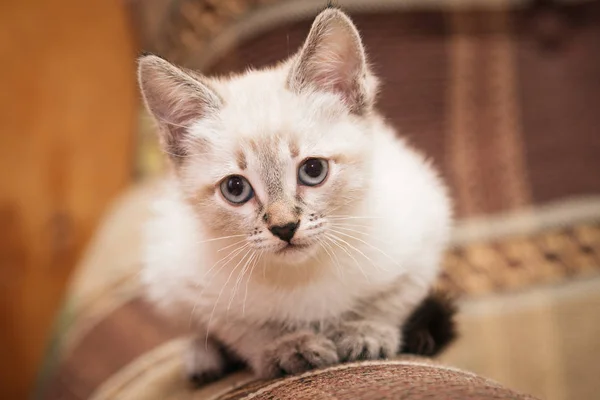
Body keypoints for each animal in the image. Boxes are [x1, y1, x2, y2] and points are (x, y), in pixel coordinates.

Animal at [138, 6, 452, 386]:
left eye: (313, 170)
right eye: (235, 188)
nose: (285, 227)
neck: (304, 275)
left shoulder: (424, 234)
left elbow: (391, 300)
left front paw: (365, 332)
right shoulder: (187, 281)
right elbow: (246, 329)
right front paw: (289, 347)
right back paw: (203, 357)